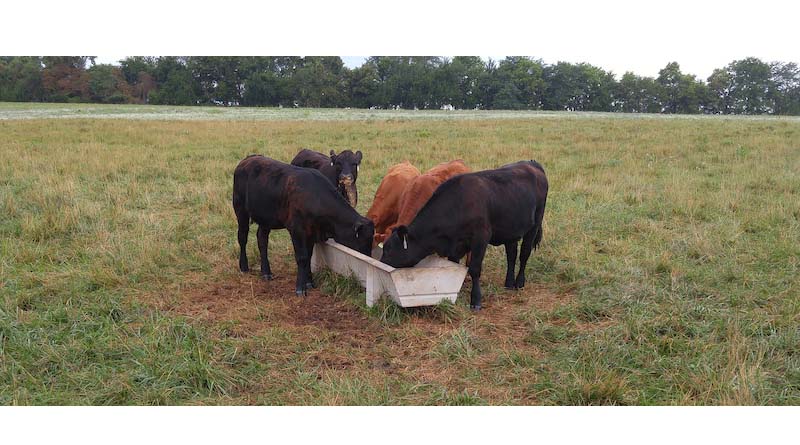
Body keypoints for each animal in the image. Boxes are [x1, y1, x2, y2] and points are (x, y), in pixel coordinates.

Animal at [233, 155, 374, 296]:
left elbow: (308, 257)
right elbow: (302, 257)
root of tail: (248, 159)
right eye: (362, 241)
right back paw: (244, 266)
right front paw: (300, 287)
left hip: (266, 219)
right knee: (242, 237)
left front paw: (309, 282)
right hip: (240, 210)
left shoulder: (311, 232)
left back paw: (266, 272)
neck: (314, 197)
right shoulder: (297, 230)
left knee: (262, 240)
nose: (367, 256)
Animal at [380, 160, 548, 311]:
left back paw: (519, 283)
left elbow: (474, 268)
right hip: (511, 231)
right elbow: (454, 267)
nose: (382, 264)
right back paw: (509, 283)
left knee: (524, 254)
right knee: (511, 255)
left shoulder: (481, 238)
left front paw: (476, 300)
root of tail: (532, 164)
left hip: (534, 225)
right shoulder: (456, 246)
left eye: (389, 250)